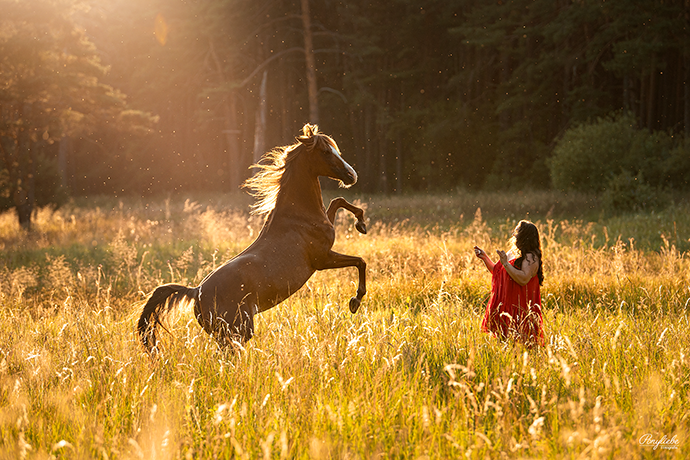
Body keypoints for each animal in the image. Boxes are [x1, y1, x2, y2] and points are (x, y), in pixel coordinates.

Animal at [136, 123, 368, 352]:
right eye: (325, 152)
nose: (352, 175)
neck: (298, 215)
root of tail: (196, 292)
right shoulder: (323, 259)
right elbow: (360, 261)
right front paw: (355, 301)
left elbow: (338, 201)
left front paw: (361, 224)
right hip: (239, 330)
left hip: (226, 334)